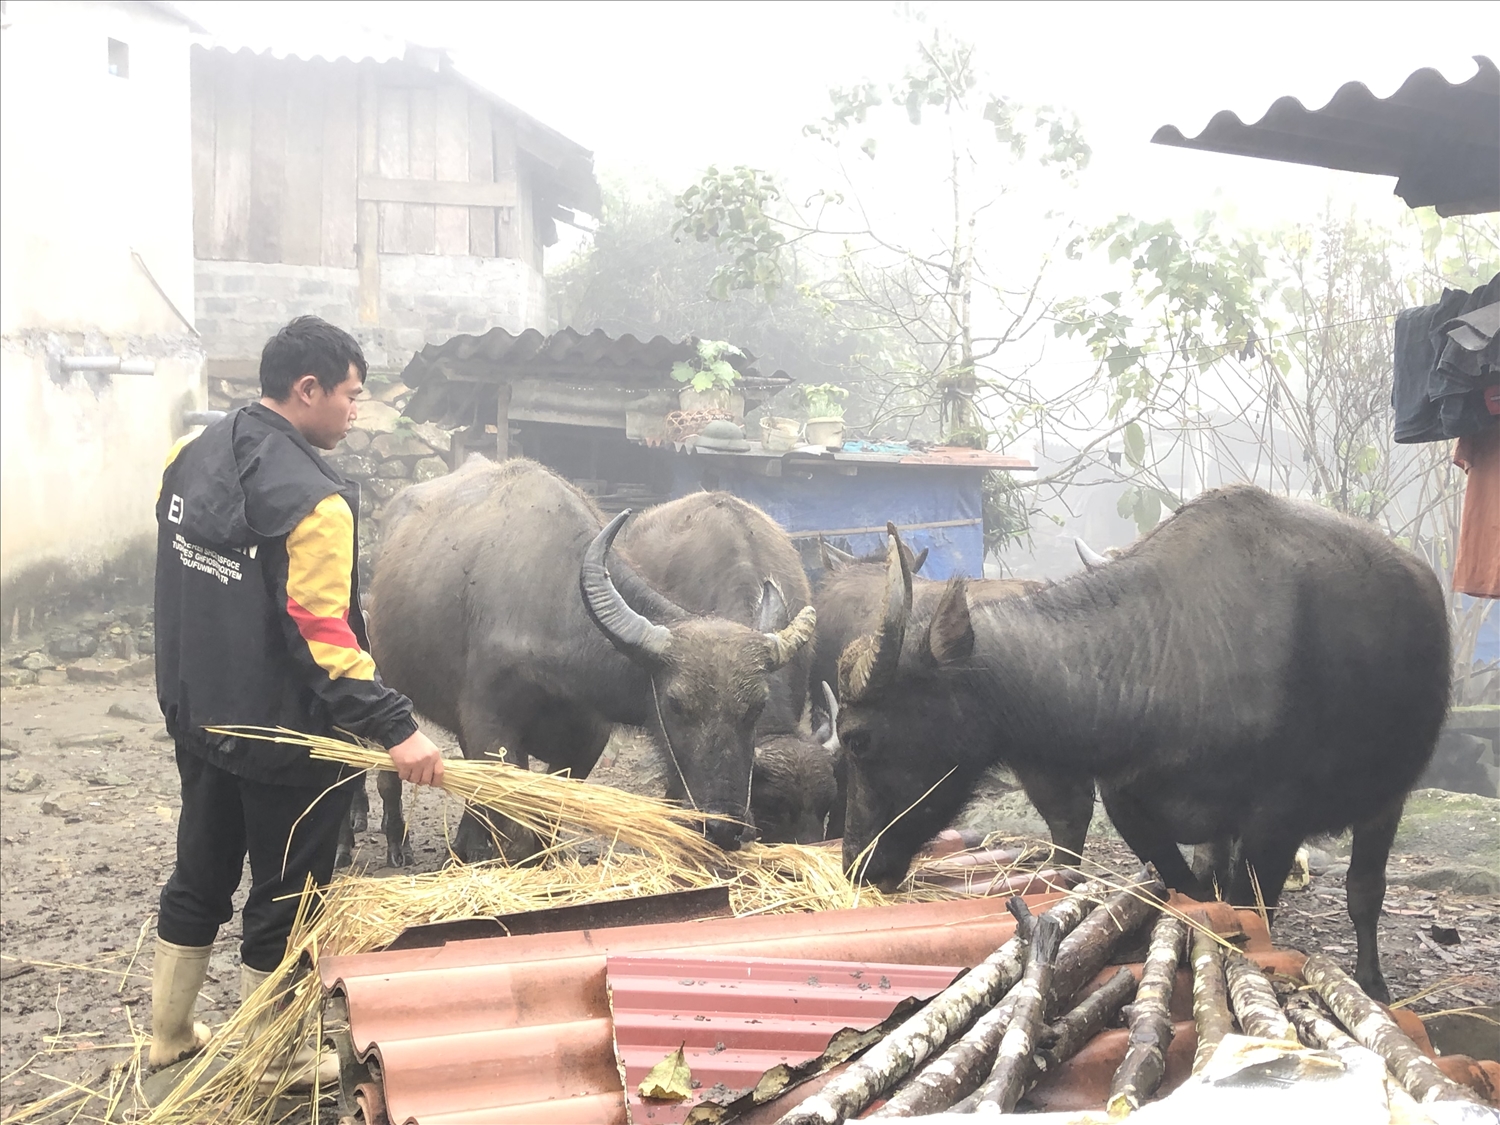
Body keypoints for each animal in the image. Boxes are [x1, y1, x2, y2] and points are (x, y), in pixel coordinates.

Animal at [364, 462, 816, 870]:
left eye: (756, 707)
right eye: (676, 704)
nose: (722, 827)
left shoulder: (587, 740)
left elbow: (548, 815)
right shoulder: (492, 728)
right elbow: (518, 825)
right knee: (389, 772)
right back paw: (399, 845)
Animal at [840, 486, 1446, 1002]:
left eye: (857, 738)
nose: (856, 864)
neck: (1166, 657)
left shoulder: (1276, 823)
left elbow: (1253, 912)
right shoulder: (1129, 805)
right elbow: (1192, 895)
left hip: (1389, 796)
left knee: (1364, 890)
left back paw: (1373, 982)